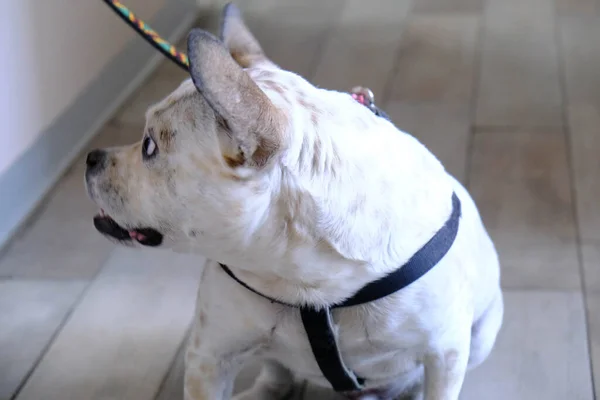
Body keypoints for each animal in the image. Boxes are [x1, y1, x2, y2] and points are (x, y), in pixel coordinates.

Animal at [85, 3, 502, 400]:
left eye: (149, 147)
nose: (91, 158)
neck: (299, 273)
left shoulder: (445, 354)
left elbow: (436, 384)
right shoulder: (211, 353)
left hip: (483, 334)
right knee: (277, 371)